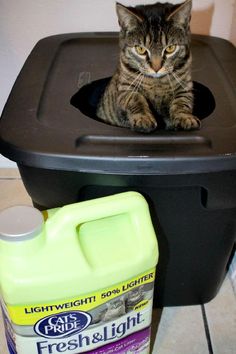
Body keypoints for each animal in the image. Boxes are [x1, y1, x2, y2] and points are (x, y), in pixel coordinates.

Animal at [97, 0, 200, 133]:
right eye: (140, 49)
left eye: (170, 48)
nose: (156, 68)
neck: (157, 83)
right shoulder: (126, 87)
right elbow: (136, 100)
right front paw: (143, 118)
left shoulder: (185, 86)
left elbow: (182, 102)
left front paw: (186, 117)